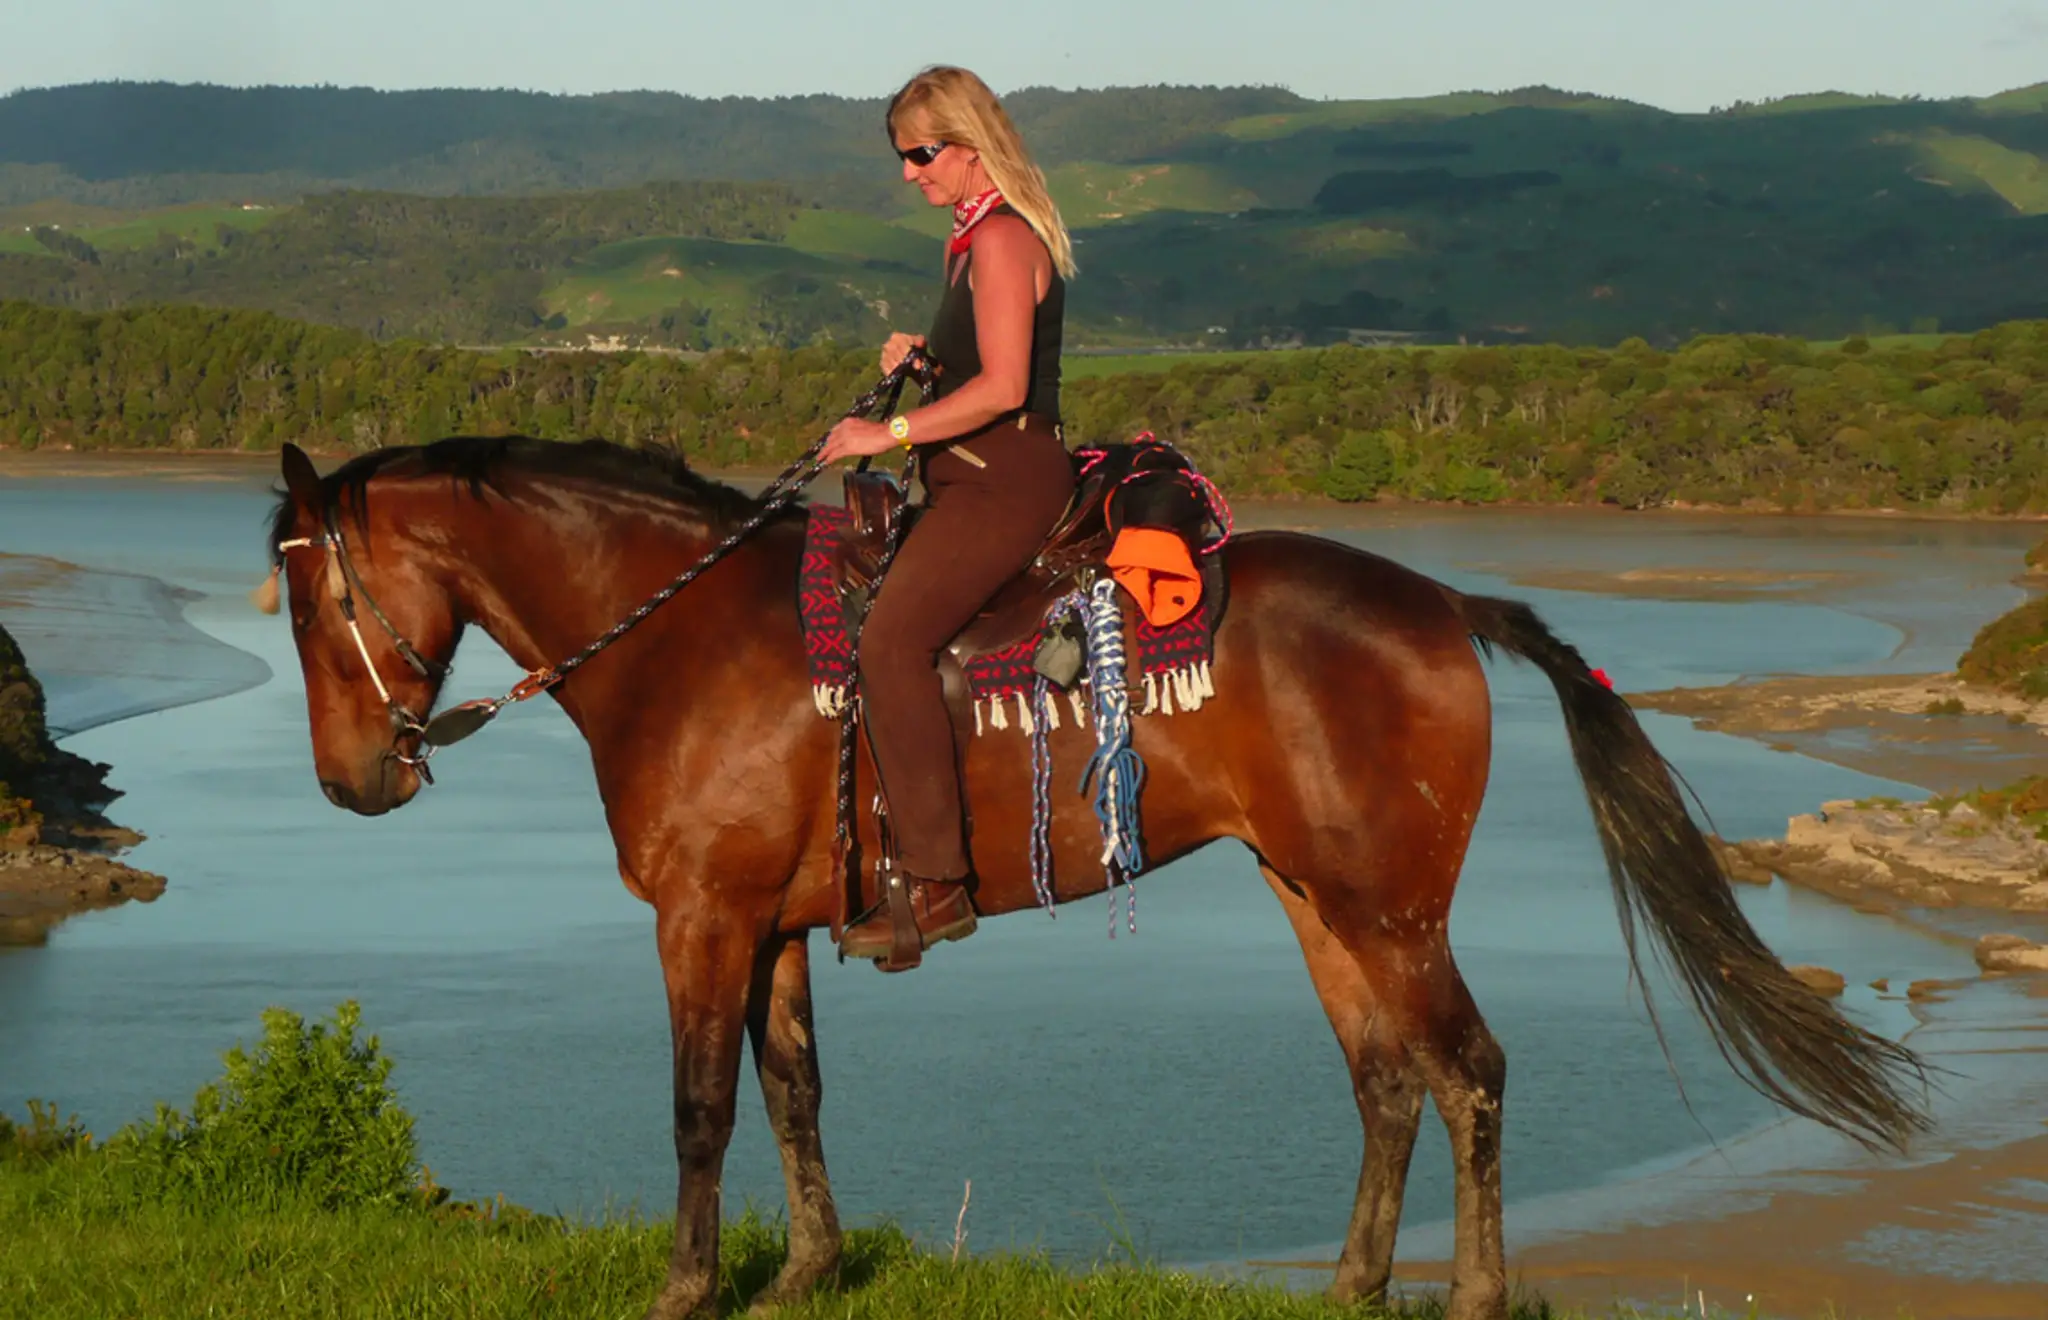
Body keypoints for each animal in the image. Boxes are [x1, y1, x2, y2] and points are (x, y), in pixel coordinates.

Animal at [264, 435, 1925, 1320]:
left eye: (303, 596)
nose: (352, 783)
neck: (678, 644)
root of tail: (1446, 603)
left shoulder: (702, 921)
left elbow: (696, 1110)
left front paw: (686, 1292)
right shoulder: (770, 927)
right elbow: (791, 1092)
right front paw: (803, 1272)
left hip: (1391, 909)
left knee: (1470, 1072)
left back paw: (1465, 1293)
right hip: (1315, 900)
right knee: (1388, 1079)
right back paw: (1350, 1285)